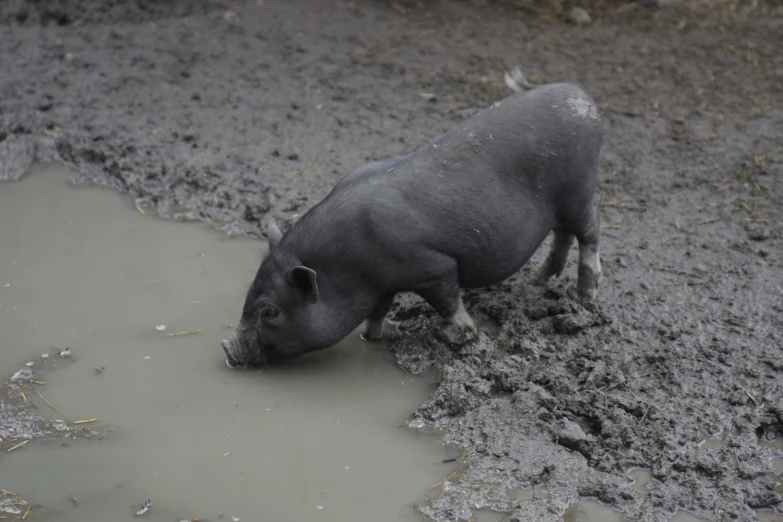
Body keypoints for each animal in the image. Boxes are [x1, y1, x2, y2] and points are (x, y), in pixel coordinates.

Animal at [224, 80, 604, 366]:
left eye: (270, 313)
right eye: (248, 294)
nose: (227, 349)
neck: (347, 267)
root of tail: (583, 96)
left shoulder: (434, 267)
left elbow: (448, 302)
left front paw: (463, 335)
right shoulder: (381, 285)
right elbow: (376, 314)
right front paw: (376, 337)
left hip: (580, 191)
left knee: (590, 233)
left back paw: (584, 297)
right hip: (561, 207)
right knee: (562, 235)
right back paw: (540, 280)